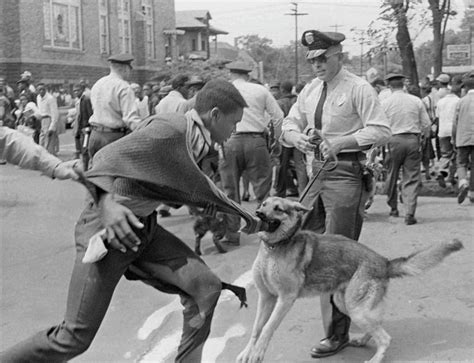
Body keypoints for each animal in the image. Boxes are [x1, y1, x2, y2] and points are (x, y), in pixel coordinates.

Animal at [237, 198, 462, 362]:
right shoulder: (266, 297)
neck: (273, 248)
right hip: (345, 304)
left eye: (279, 209)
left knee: (385, 337)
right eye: (263, 204)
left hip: (357, 309)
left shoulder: (285, 299)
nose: (258, 213)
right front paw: (247, 352)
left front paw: (257, 353)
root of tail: (384, 262)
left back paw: (376, 359)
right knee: (377, 325)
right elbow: (257, 328)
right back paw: (363, 340)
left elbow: (267, 328)